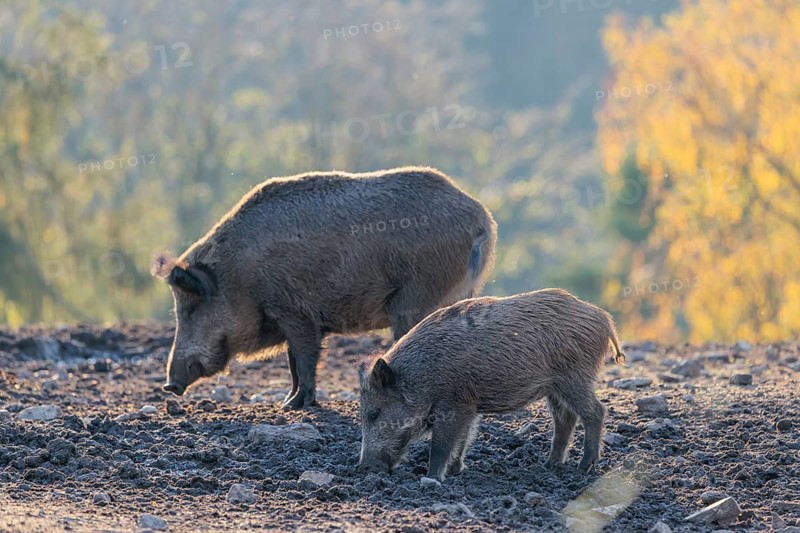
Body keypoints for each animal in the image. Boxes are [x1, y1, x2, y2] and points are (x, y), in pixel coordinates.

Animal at [151, 166, 497, 409]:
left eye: (191, 306)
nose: (169, 385)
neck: (240, 275)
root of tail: (482, 219)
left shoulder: (296, 312)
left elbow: (305, 359)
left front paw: (293, 406)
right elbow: (292, 362)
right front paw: (287, 402)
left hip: (415, 297)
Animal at [358, 288, 625, 480]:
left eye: (374, 413)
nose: (364, 467)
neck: (419, 376)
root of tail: (605, 319)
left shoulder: (452, 404)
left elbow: (441, 445)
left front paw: (432, 478)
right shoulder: (468, 406)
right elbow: (464, 438)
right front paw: (456, 471)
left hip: (575, 377)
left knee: (595, 412)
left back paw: (584, 468)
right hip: (556, 387)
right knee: (565, 419)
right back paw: (549, 466)